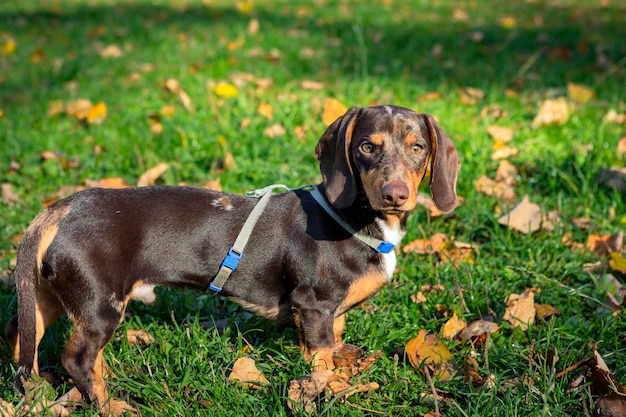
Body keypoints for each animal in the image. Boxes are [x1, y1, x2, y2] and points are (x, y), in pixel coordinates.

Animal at [6, 105, 458, 412]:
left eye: (418, 148)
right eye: (366, 146)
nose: (395, 195)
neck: (356, 218)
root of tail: (59, 209)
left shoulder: (332, 314)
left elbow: (335, 345)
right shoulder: (313, 307)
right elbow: (320, 362)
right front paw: (326, 390)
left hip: (49, 297)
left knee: (21, 339)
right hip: (100, 305)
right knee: (77, 359)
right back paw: (109, 404)